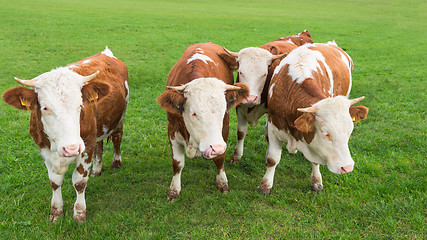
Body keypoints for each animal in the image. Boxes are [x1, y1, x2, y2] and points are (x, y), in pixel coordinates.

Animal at [1, 47, 129, 223]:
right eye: (45, 108)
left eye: (80, 105)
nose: (71, 148)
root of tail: (106, 53)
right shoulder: (43, 149)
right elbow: (54, 182)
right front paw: (56, 211)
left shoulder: (86, 146)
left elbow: (79, 182)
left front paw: (80, 213)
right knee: (100, 144)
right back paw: (97, 169)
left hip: (120, 118)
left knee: (117, 137)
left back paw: (116, 162)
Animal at [157, 42, 251, 201]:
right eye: (194, 113)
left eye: (223, 111)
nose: (215, 148)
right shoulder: (172, 130)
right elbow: (177, 163)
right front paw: (174, 190)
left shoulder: (224, 129)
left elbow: (220, 158)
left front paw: (222, 183)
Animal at [221, 30, 314, 163]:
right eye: (241, 72)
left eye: (264, 74)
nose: (251, 98)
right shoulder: (240, 107)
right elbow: (241, 132)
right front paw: (237, 156)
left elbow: (268, 136)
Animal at [258, 41, 372, 194]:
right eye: (326, 133)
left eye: (349, 132)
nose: (347, 168)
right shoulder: (273, 127)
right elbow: (272, 159)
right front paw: (265, 186)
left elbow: (315, 160)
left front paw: (317, 182)